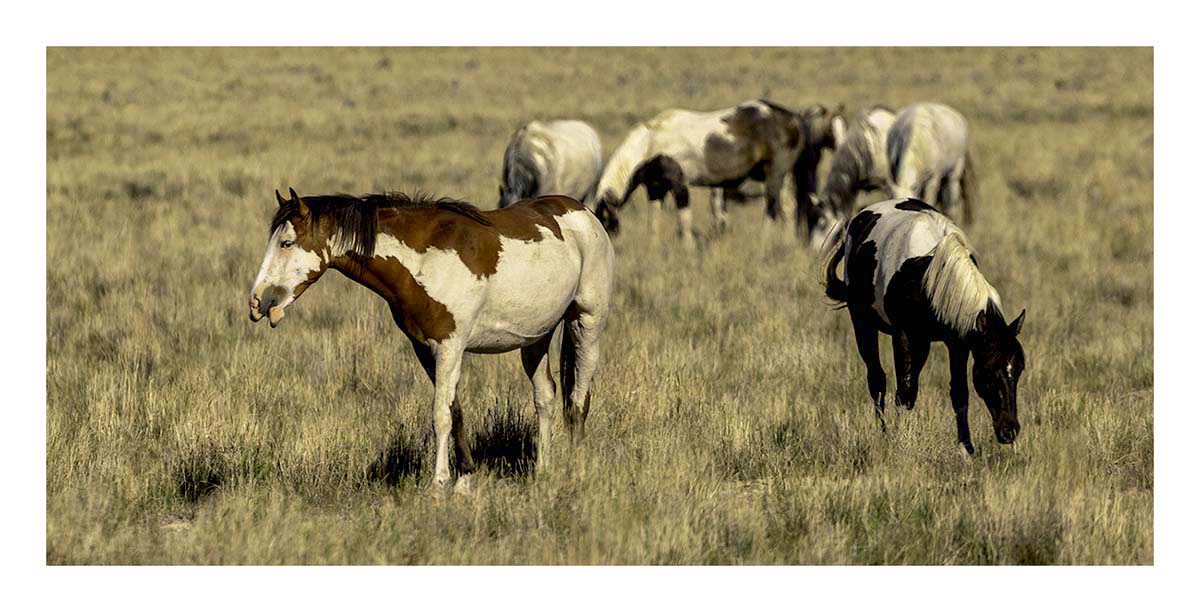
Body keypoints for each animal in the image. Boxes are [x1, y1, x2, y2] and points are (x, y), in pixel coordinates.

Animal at [249, 188, 615, 491]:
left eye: (286, 243)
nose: (257, 302)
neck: (425, 260)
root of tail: (583, 211)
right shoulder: (425, 349)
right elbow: (455, 411)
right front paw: (464, 479)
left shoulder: (451, 347)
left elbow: (440, 415)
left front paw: (439, 484)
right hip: (536, 339)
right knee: (546, 398)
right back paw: (543, 471)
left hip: (587, 324)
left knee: (578, 401)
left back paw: (578, 471)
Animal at [590, 99, 806, 248]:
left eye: (604, 218)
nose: (602, 244)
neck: (651, 143)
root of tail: (792, 119)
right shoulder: (656, 188)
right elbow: (654, 220)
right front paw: (653, 247)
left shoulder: (679, 183)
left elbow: (684, 218)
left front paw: (687, 247)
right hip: (782, 177)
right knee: (788, 208)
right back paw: (789, 242)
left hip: (774, 175)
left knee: (771, 207)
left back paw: (763, 241)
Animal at [821, 198, 1025, 455]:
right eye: (988, 371)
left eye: (1019, 369)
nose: (1009, 430)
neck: (928, 272)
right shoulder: (904, 337)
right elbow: (905, 391)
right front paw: (899, 441)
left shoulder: (958, 342)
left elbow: (959, 392)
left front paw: (966, 449)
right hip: (862, 323)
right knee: (877, 379)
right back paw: (883, 432)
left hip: (922, 344)